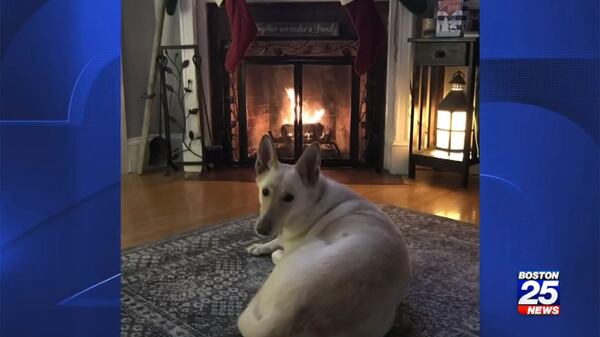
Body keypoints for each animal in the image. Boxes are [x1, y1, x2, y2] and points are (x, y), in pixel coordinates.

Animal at [239, 135, 412, 336]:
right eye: (265, 191)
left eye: (289, 198)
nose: (261, 229)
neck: (314, 200)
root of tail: (285, 317)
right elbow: (276, 240)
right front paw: (260, 246)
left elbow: (278, 247)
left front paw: (271, 247)